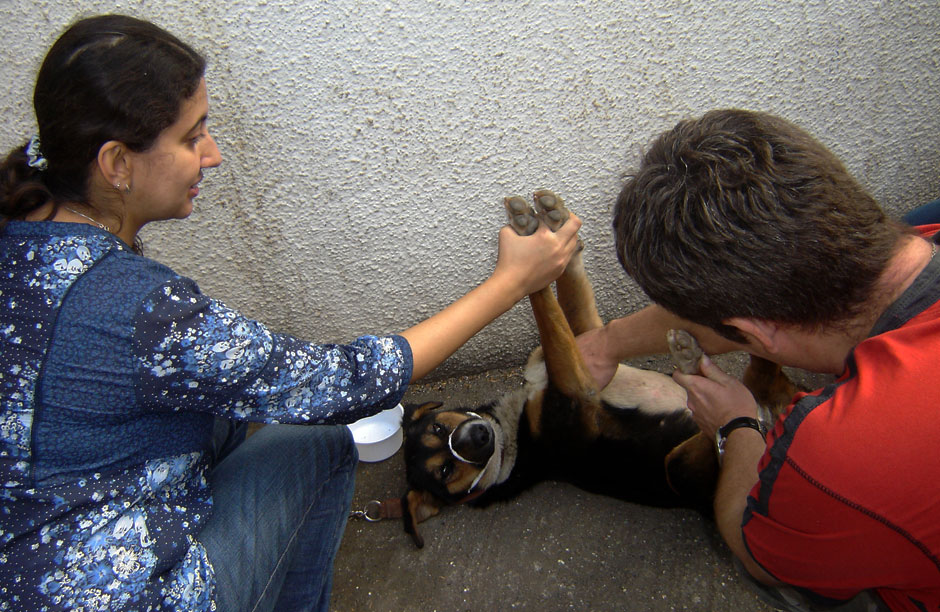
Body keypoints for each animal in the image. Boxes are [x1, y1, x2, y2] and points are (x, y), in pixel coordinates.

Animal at [400, 190, 796, 544]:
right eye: (445, 470)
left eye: (437, 426)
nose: (477, 436)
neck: (515, 434)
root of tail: (775, 412)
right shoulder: (574, 391)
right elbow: (545, 306)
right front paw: (534, 253)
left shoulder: (585, 342)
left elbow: (568, 303)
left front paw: (551, 222)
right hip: (683, 469)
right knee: (718, 424)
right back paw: (696, 367)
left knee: (765, 368)